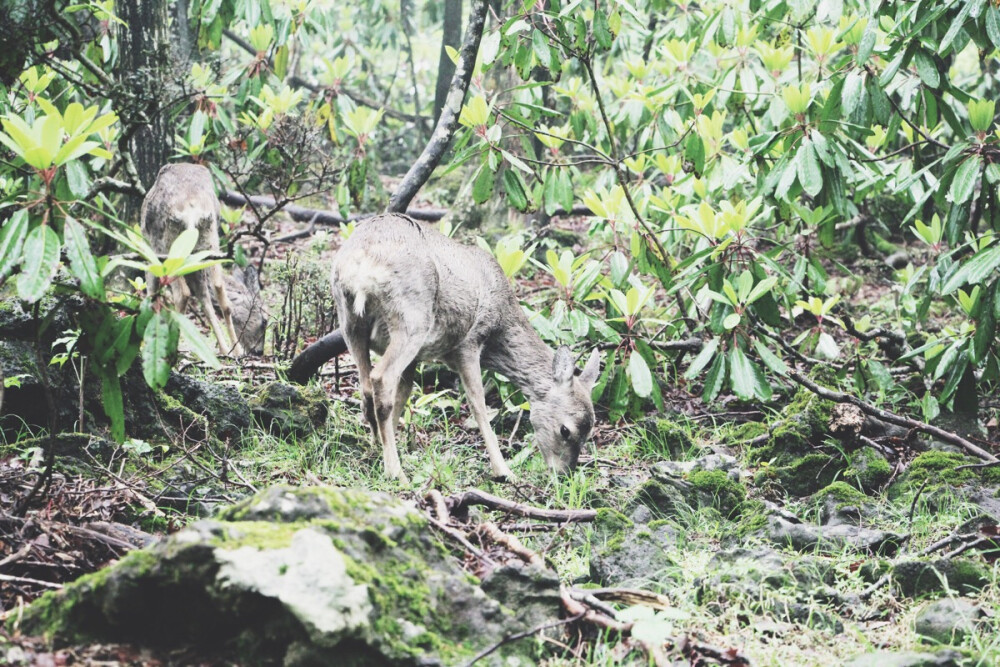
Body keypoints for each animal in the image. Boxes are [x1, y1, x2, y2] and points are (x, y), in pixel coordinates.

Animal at [142, 164, 266, 358]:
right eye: (265, 322)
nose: (260, 351)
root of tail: (192, 210)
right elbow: (206, 299)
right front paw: (225, 349)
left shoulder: (150, 253)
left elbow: (151, 292)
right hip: (209, 242)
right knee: (220, 291)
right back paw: (234, 350)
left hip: (168, 247)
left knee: (182, 293)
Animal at [332, 214, 596, 480]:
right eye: (566, 430)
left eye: (588, 432)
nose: (564, 474)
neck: (500, 326)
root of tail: (361, 263)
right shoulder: (469, 343)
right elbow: (478, 403)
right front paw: (503, 470)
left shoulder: (417, 359)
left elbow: (403, 395)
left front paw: (383, 448)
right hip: (411, 320)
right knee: (381, 378)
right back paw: (396, 472)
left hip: (350, 323)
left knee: (366, 388)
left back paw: (379, 450)